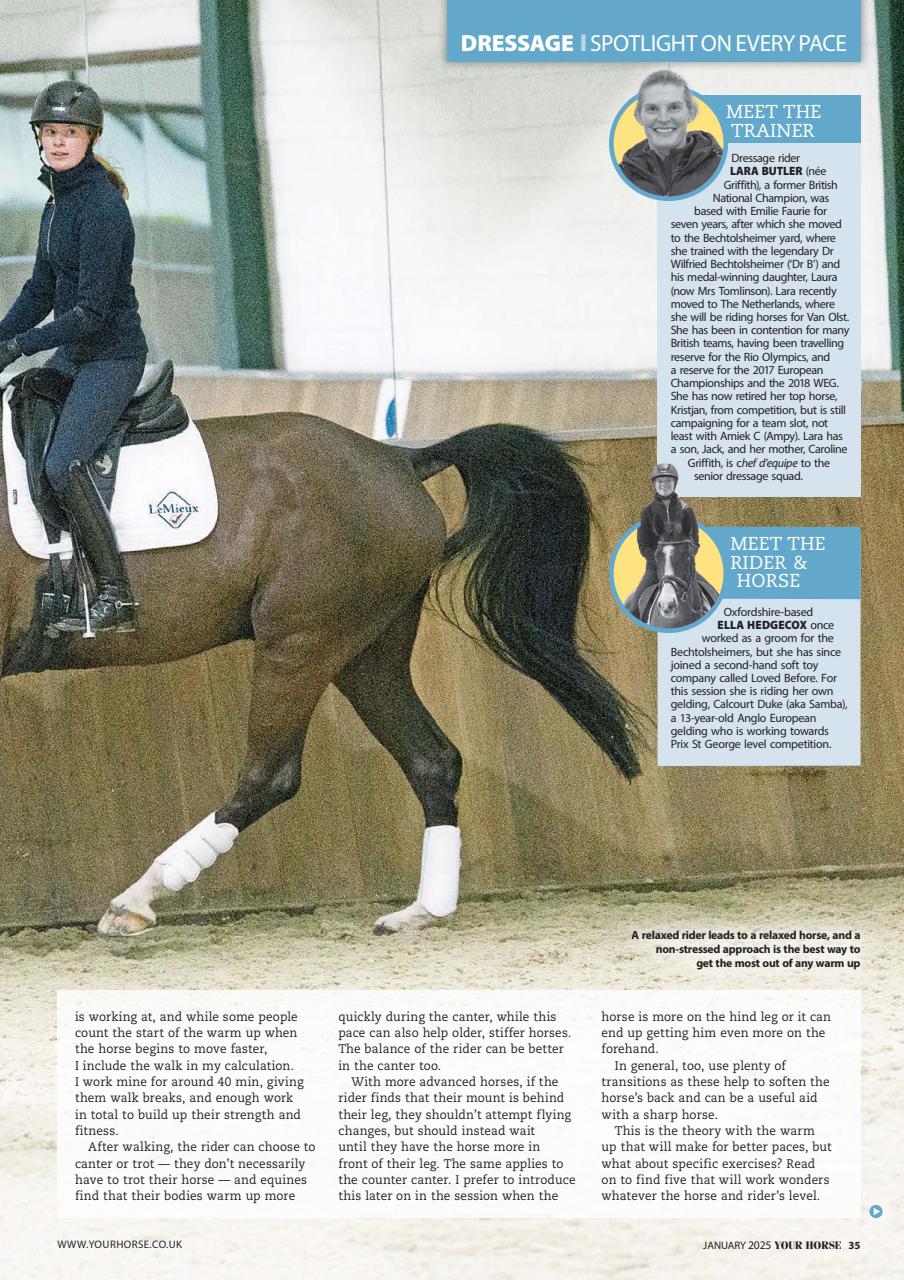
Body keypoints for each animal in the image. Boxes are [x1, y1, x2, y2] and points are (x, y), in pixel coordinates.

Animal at [0, 411, 640, 936]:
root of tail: (397, 460)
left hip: (302, 641)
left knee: (271, 775)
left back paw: (136, 901)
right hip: (366, 652)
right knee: (431, 759)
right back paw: (420, 912)